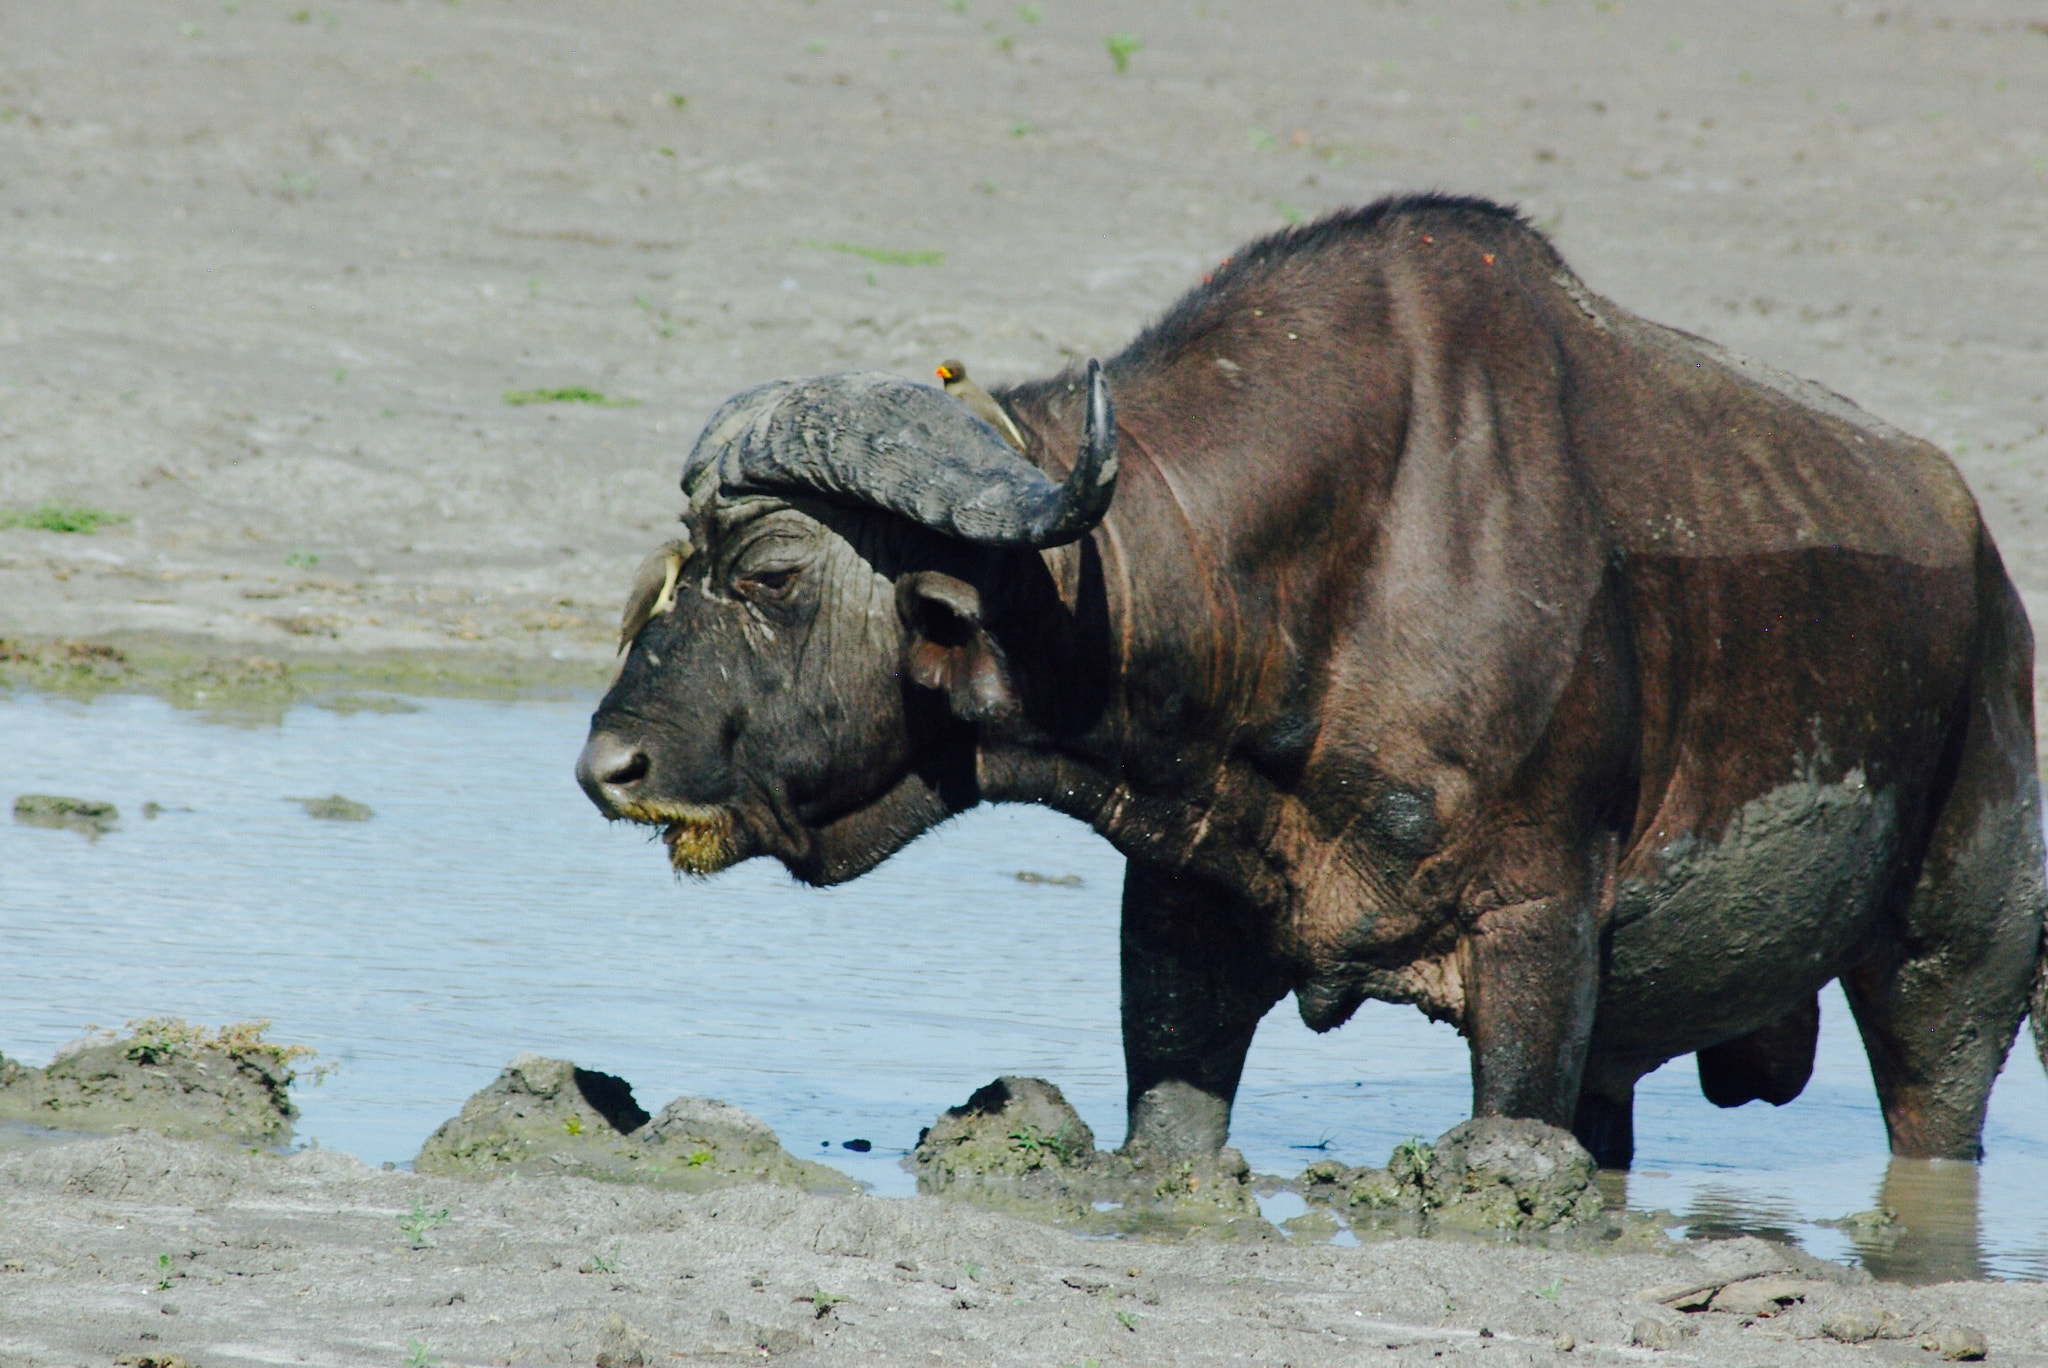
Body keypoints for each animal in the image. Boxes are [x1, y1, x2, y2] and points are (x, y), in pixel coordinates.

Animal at [577, 197, 2048, 1171]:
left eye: (771, 571)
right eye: (675, 565)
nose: (608, 769)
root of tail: (1985, 580)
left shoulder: (1536, 942)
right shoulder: (1178, 926)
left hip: (1958, 976)